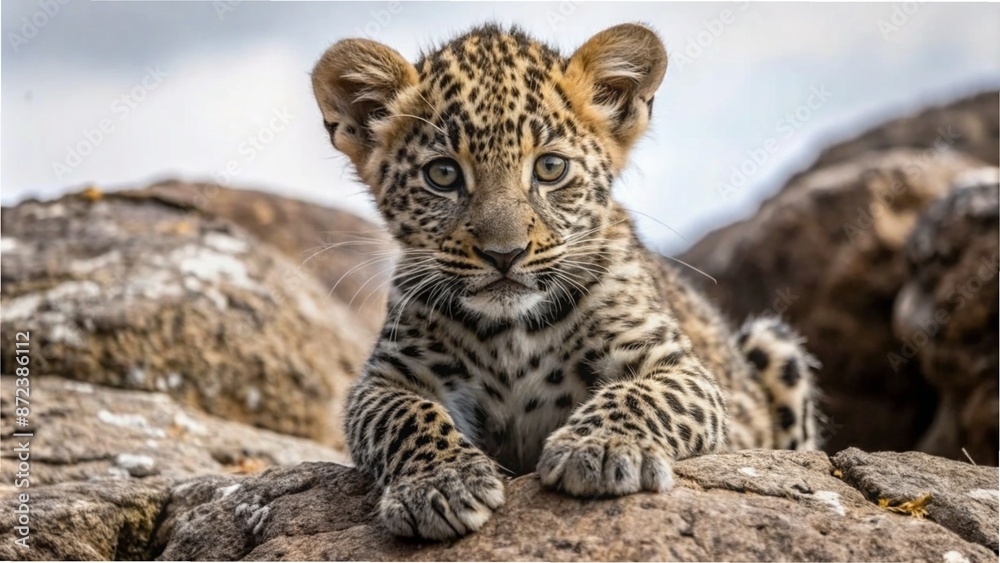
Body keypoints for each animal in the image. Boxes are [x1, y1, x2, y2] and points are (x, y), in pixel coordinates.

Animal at [311, 22, 819, 541]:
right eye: (443, 174)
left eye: (550, 168)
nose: (505, 254)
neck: (511, 333)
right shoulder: (387, 377)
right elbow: (403, 416)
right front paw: (441, 483)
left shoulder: (676, 366)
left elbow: (643, 395)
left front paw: (601, 449)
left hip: (773, 345)